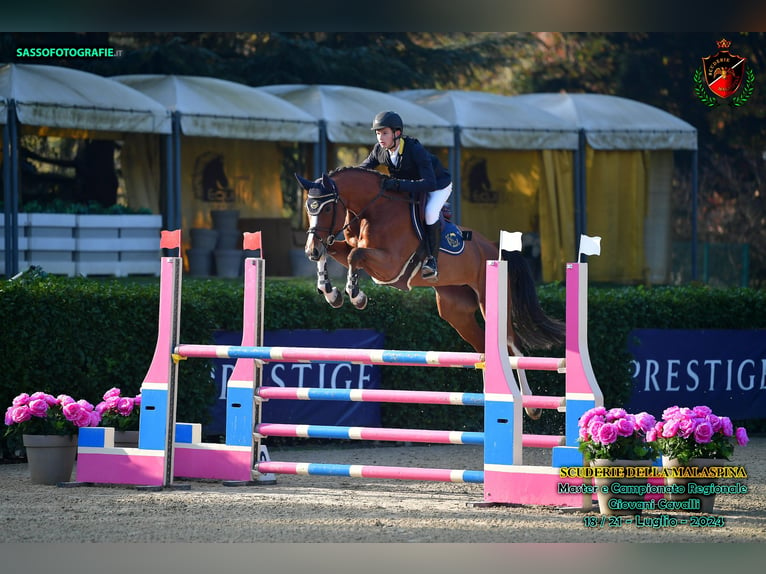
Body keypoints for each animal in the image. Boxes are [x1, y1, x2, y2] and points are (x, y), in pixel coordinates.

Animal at [296, 166, 568, 414]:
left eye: (327, 208)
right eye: (309, 209)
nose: (310, 250)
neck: (373, 211)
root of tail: (492, 246)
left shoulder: (390, 266)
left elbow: (355, 256)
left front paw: (356, 296)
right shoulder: (348, 248)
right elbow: (336, 252)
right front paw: (330, 292)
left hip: (490, 302)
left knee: (512, 346)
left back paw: (530, 404)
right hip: (455, 311)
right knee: (483, 346)